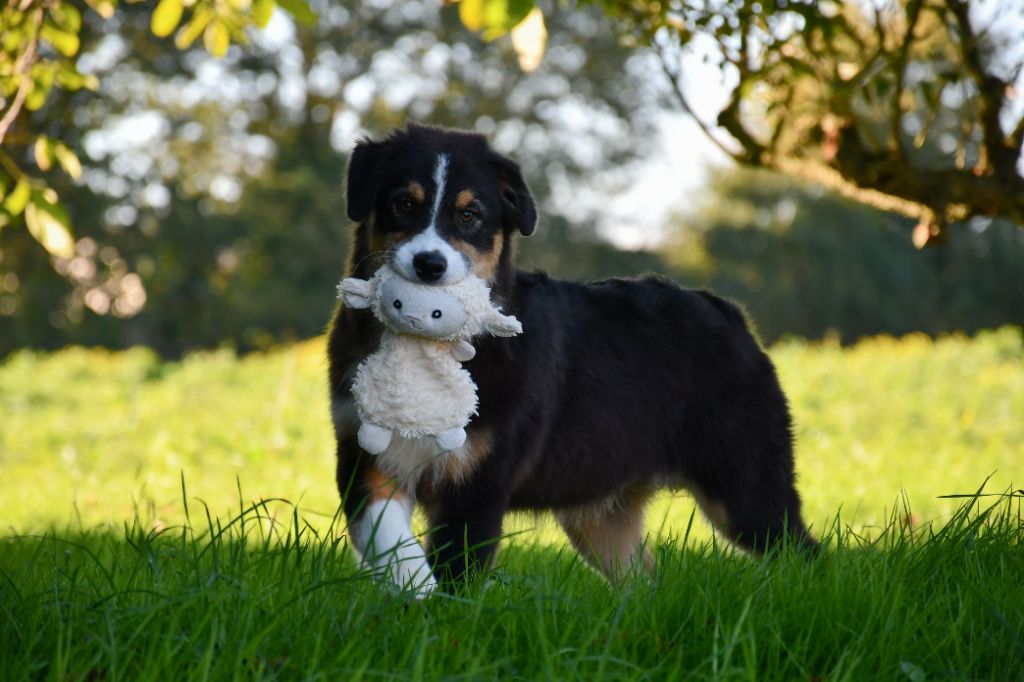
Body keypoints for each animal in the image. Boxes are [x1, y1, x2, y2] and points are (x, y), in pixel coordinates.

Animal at [327, 124, 815, 593]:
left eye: (470, 215)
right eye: (404, 204)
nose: (429, 265)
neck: (423, 356)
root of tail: (729, 311)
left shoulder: (480, 482)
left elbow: (456, 571)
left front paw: (437, 612)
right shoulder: (363, 457)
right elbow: (392, 544)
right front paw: (412, 597)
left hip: (745, 480)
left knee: (802, 551)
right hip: (603, 511)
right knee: (641, 577)